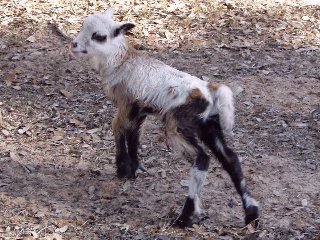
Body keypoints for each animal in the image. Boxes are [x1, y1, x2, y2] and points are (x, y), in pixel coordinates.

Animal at [69, 8, 258, 228]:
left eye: (99, 36)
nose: (74, 45)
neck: (122, 61)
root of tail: (210, 91)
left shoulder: (127, 103)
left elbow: (118, 128)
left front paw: (123, 168)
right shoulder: (140, 109)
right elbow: (134, 134)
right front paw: (133, 167)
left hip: (178, 125)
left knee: (202, 159)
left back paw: (185, 217)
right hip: (208, 126)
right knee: (231, 159)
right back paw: (251, 214)